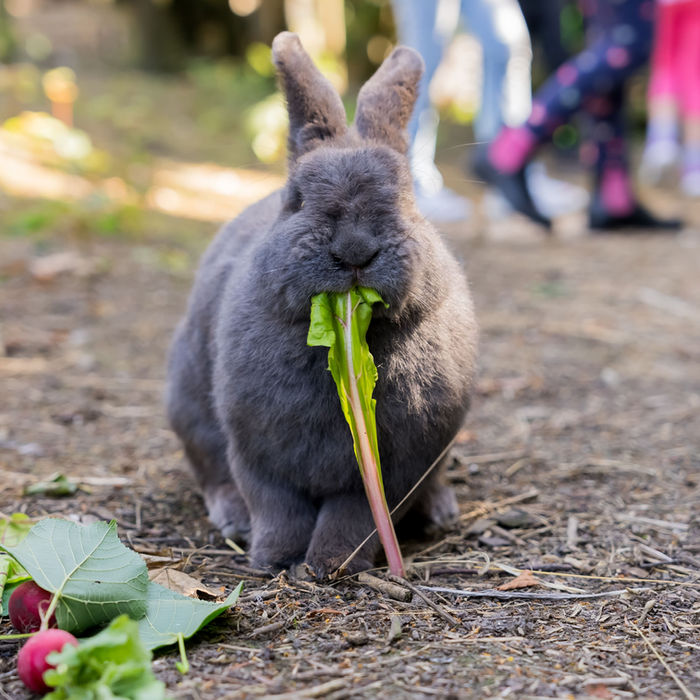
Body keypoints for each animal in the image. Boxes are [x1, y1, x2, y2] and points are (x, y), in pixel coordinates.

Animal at [166, 31, 478, 578]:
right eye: (296, 198)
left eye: (406, 195)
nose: (354, 250)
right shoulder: (259, 454)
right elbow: (278, 508)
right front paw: (275, 559)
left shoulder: (394, 467)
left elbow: (356, 516)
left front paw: (331, 565)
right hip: (189, 406)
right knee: (212, 472)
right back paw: (233, 519)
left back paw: (440, 511)